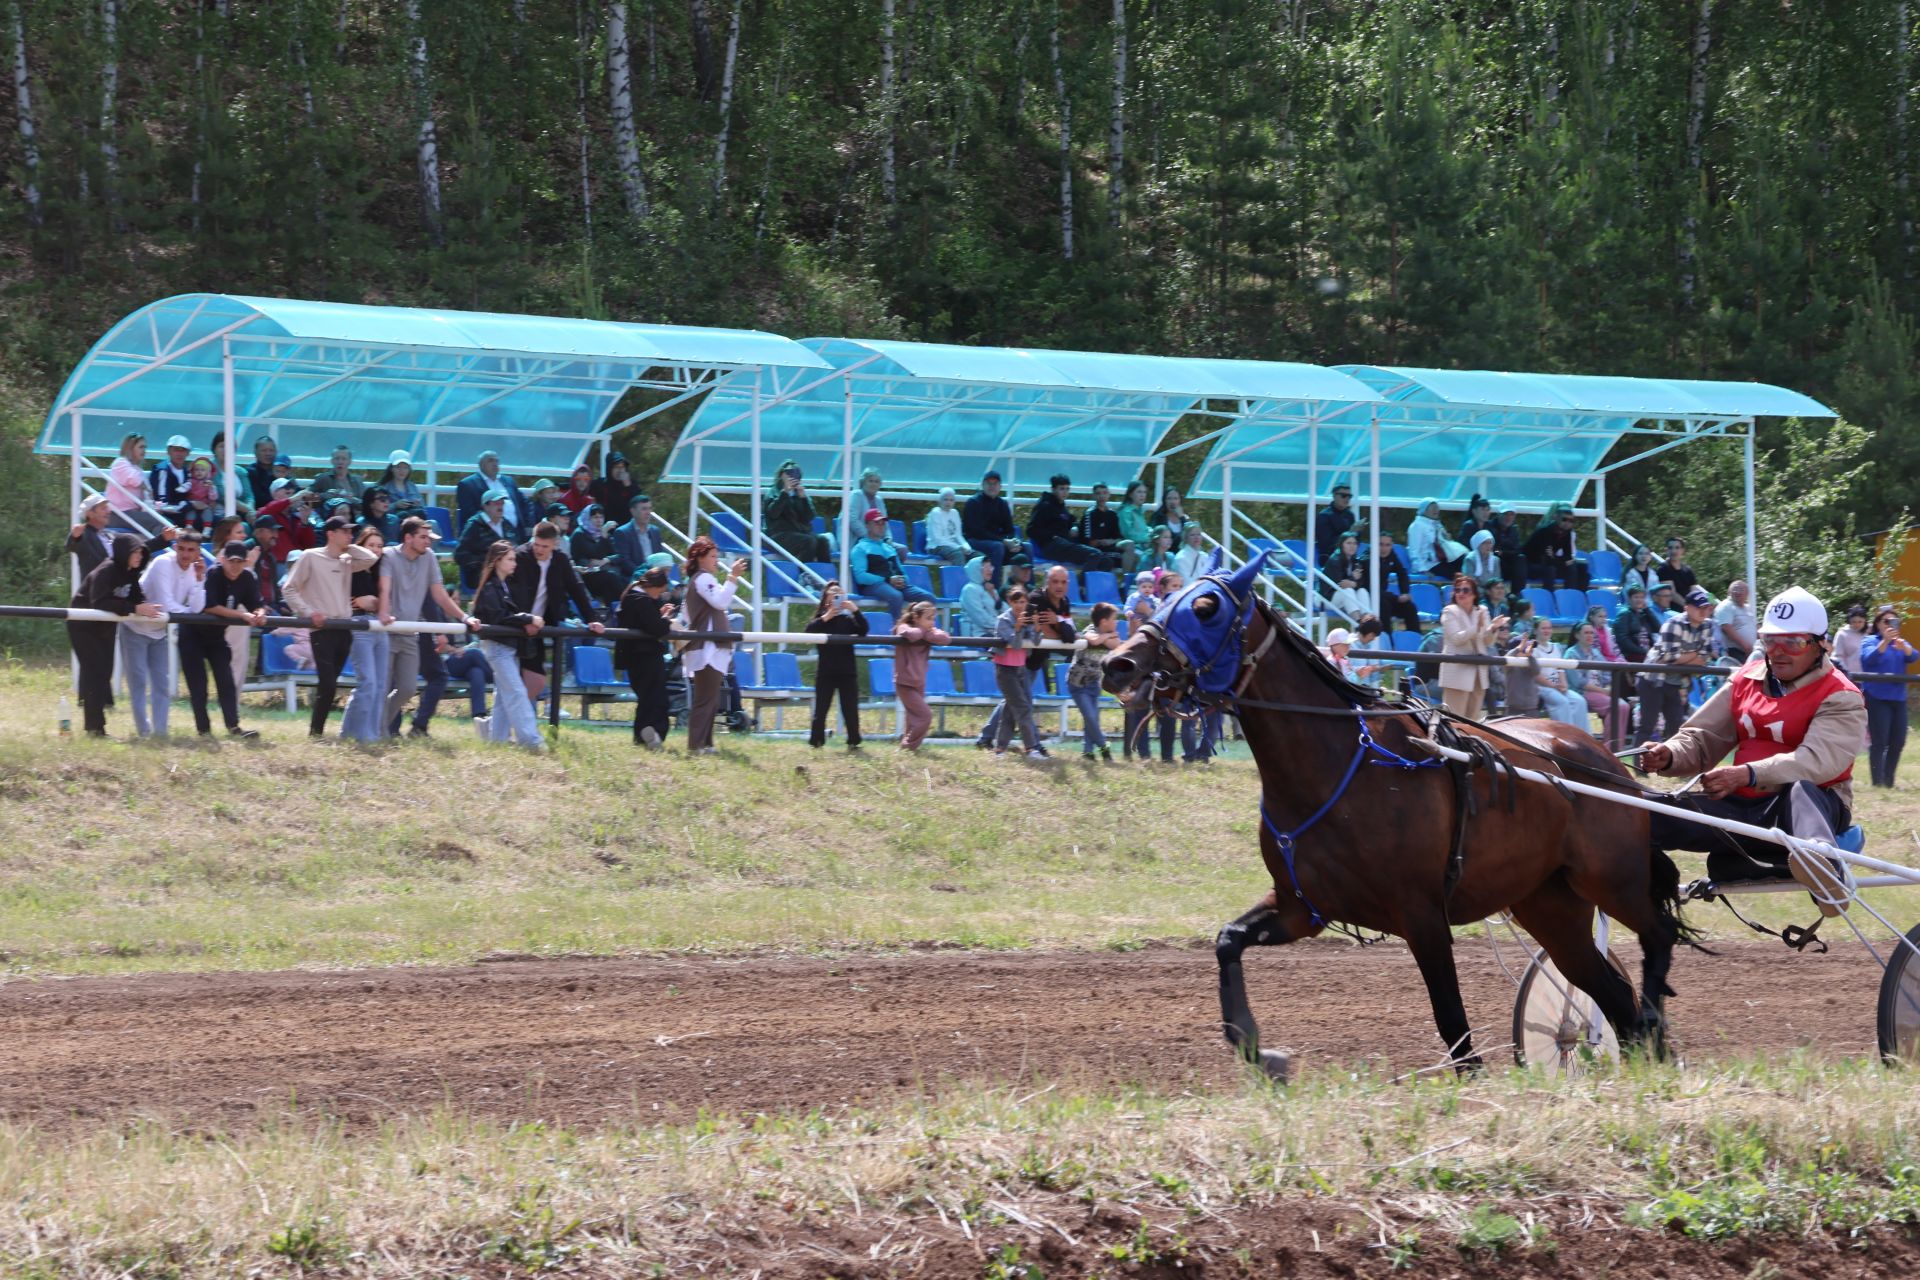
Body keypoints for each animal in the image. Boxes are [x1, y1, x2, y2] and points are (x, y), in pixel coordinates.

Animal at [1105, 564, 1689, 1074]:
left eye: (1206, 608)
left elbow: (1452, 1021)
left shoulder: (1423, 915)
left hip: (1613, 879)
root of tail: (1603, 758)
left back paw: (1653, 1021)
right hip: (1549, 904)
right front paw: (1258, 1049)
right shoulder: (1301, 906)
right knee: (1609, 993)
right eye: (1165, 597)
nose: (1117, 664)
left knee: (1657, 937)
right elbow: (1228, 940)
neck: (1338, 763)